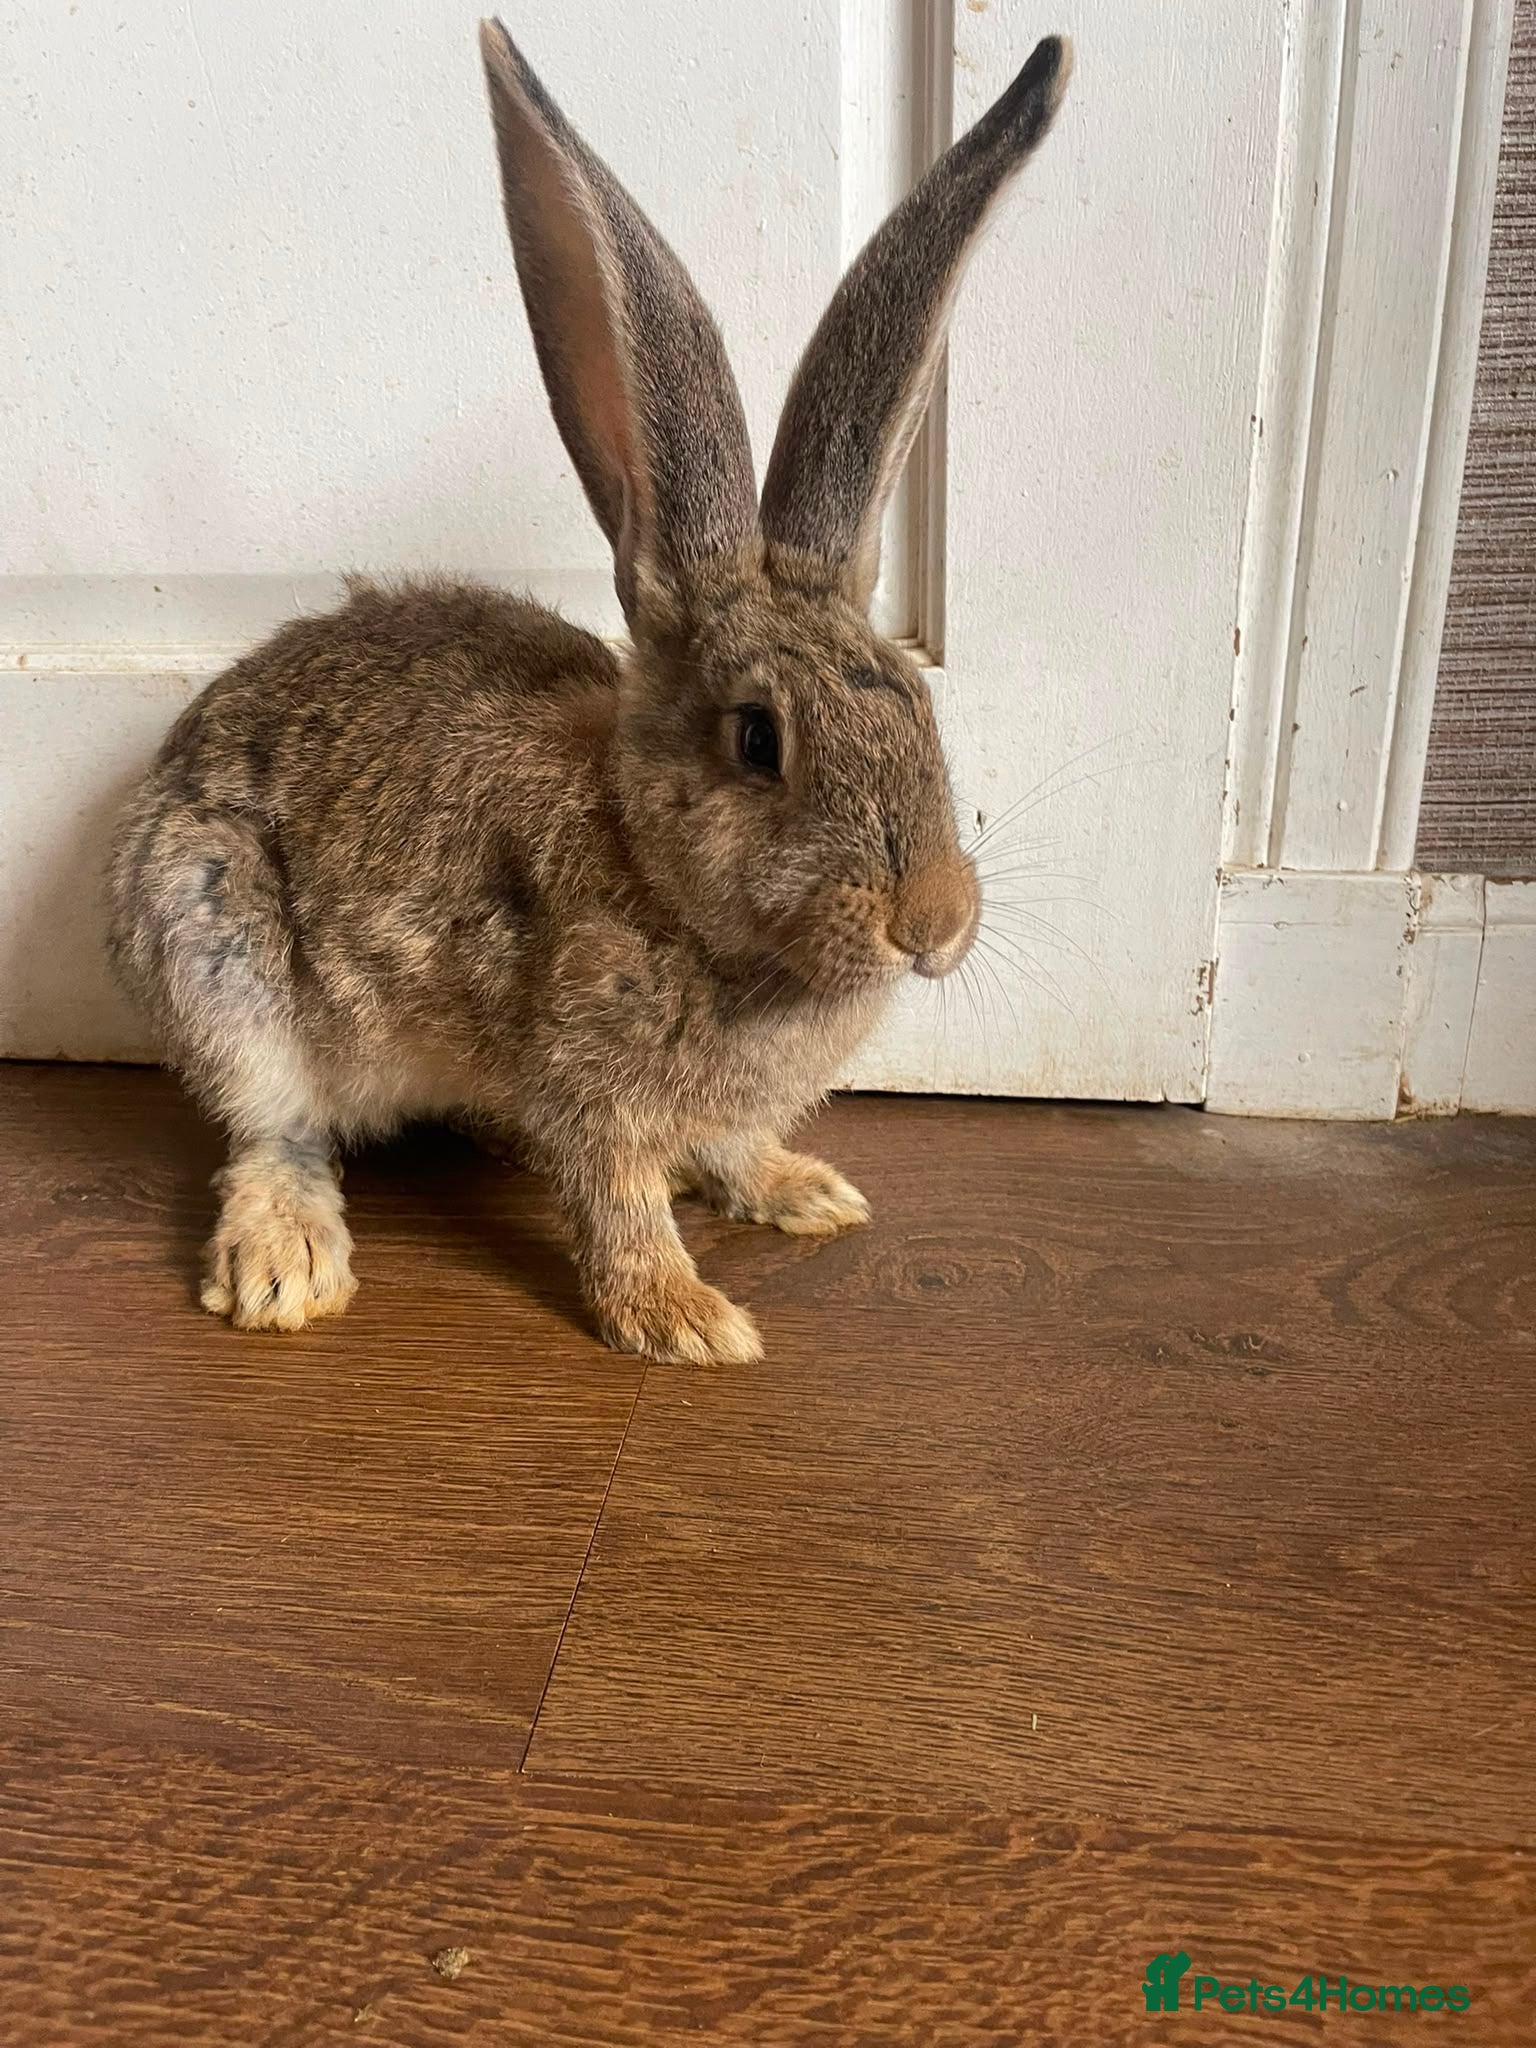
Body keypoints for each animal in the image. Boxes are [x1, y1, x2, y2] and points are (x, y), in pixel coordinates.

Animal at [107, 19, 1072, 1365]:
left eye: (921, 712)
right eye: (758, 740)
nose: (931, 923)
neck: (652, 870)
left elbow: (727, 1141)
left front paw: (801, 1190)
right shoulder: (586, 1075)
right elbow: (614, 1198)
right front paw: (685, 1318)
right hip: (214, 945)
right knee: (271, 1131)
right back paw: (282, 1265)